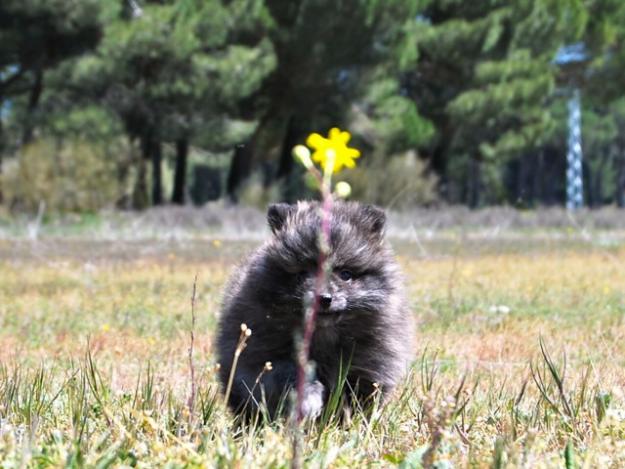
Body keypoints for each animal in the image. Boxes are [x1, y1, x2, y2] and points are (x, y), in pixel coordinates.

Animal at [216, 200, 414, 416]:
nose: (324, 298)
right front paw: (308, 399)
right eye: (302, 274)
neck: (323, 334)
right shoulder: (264, 355)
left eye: (345, 274)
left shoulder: (370, 364)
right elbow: (288, 373)